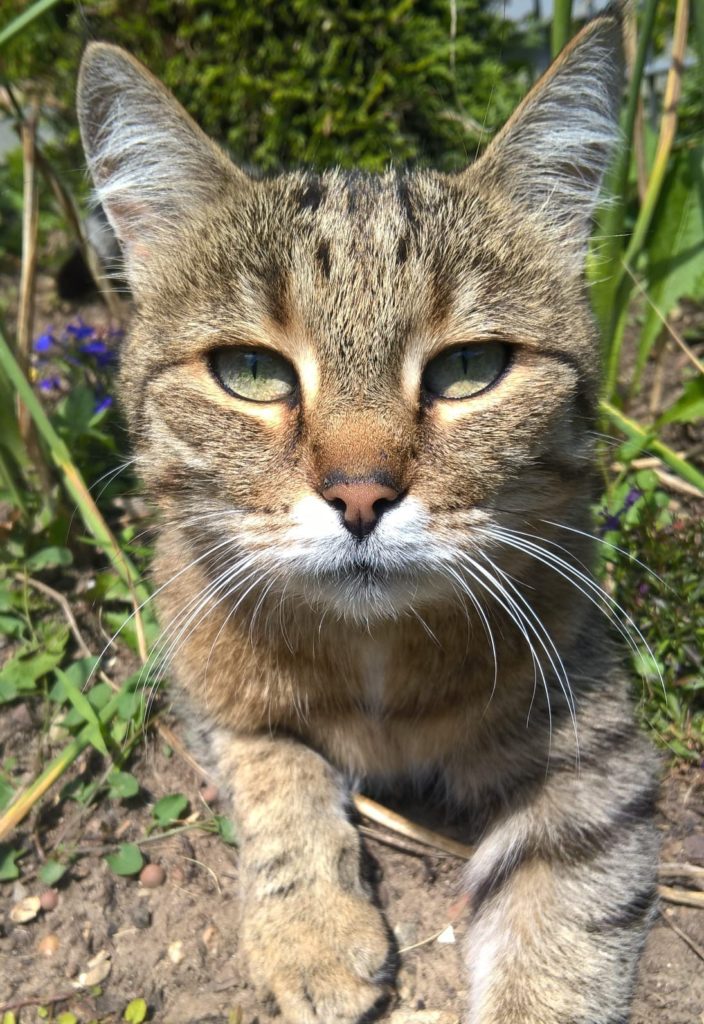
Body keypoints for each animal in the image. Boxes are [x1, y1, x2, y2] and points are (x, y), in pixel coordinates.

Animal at [78, 9, 658, 1024]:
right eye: (251, 372)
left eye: (469, 368)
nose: (360, 494)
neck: (374, 655)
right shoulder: (207, 682)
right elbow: (278, 773)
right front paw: (310, 928)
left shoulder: (595, 758)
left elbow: (562, 935)